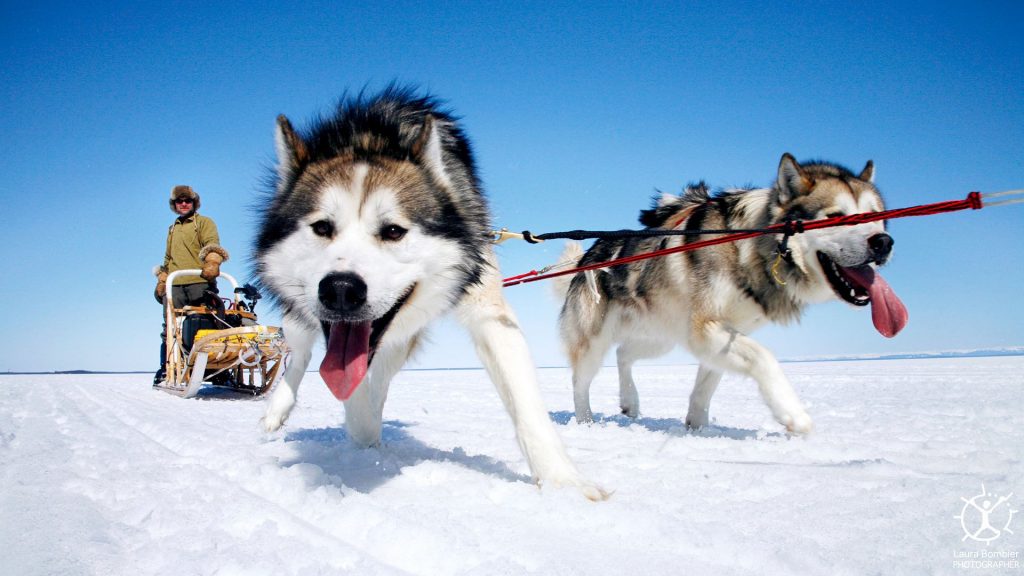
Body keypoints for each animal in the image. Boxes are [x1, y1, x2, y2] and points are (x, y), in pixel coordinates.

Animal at [256, 88, 602, 498]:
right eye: (322, 227)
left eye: (393, 231)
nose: (340, 290)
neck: (371, 137)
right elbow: (340, 383)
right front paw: (357, 427)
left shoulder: (488, 312)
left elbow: (526, 404)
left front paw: (563, 481)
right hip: (302, 316)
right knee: (301, 355)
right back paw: (279, 410)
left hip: (402, 338)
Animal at [557, 152, 909, 430]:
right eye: (835, 217)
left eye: (876, 216)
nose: (883, 242)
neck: (751, 246)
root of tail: (588, 255)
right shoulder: (705, 328)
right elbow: (764, 357)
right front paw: (792, 414)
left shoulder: (719, 334)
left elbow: (706, 385)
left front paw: (697, 427)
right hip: (595, 341)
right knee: (579, 381)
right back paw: (586, 421)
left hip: (663, 336)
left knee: (624, 353)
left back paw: (630, 401)